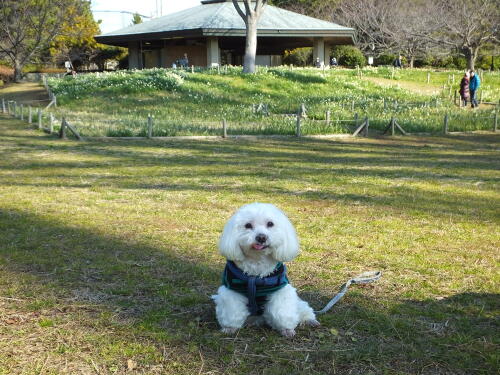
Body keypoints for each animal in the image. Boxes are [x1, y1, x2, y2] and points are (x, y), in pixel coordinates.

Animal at [212, 204, 320, 340]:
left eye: (270, 224)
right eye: (248, 225)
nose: (261, 237)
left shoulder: (280, 290)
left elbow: (282, 312)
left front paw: (286, 329)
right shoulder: (232, 290)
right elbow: (232, 311)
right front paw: (229, 328)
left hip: (298, 303)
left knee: (303, 308)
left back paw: (310, 321)